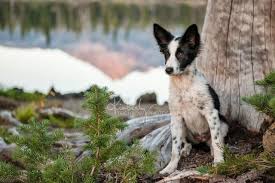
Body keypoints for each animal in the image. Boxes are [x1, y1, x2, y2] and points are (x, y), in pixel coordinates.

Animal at [154, 24, 230, 174]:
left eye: (181, 53)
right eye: (167, 54)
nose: (168, 70)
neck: (184, 85)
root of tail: (200, 139)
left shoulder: (211, 113)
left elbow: (216, 140)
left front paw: (219, 161)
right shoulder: (176, 117)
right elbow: (175, 148)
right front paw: (170, 167)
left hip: (223, 123)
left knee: (215, 140)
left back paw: (214, 150)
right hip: (182, 127)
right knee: (186, 143)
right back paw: (186, 149)